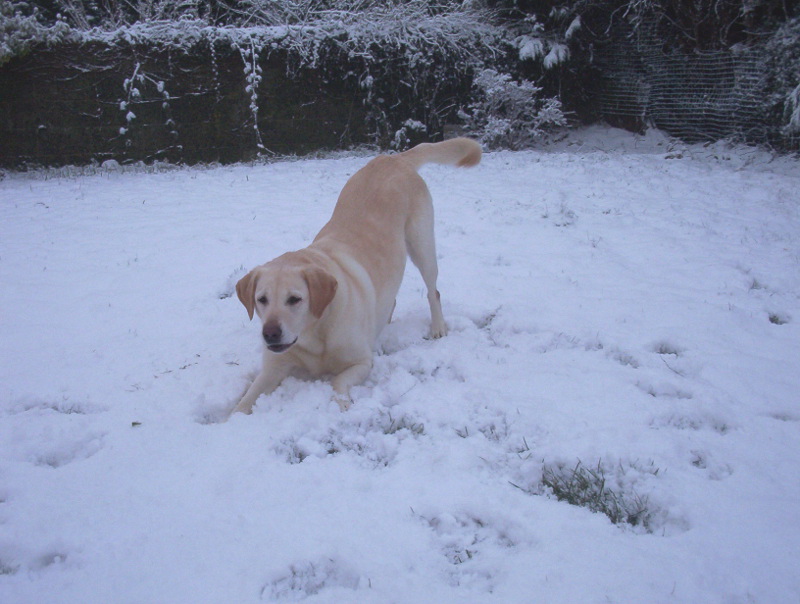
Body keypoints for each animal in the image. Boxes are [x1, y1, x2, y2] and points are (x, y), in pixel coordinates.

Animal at [231, 137, 482, 416]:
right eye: (261, 300)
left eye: (294, 299)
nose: (270, 334)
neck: (315, 333)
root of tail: (393, 158)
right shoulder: (272, 368)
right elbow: (245, 401)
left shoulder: (362, 362)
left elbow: (338, 380)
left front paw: (341, 402)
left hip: (422, 244)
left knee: (432, 290)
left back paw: (438, 326)